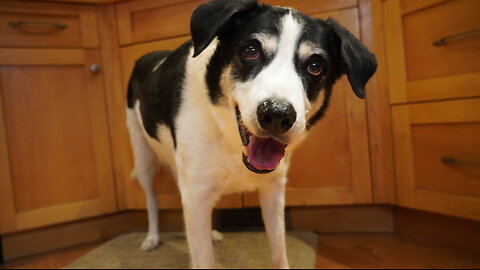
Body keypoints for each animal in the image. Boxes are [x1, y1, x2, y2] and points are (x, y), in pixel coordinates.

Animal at [125, 0, 376, 266]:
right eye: (251, 50)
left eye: (316, 66)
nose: (277, 114)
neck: (229, 137)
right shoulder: (196, 190)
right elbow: (203, 257)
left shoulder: (273, 189)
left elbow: (279, 249)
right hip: (142, 154)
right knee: (152, 198)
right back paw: (151, 238)